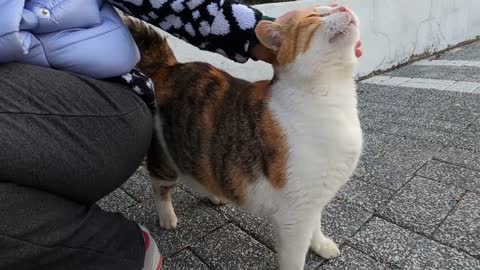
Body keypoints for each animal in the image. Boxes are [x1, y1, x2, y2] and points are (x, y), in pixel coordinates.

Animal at [125, 6, 362, 270]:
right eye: (315, 16)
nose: (344, 7)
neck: (332, 92)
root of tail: (169, 66)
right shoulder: (294, 214)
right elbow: (295, 256)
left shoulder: (314, 197)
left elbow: (317, 224)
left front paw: (320, 243)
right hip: (164, 158)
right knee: (160, 187)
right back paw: (167, 216)